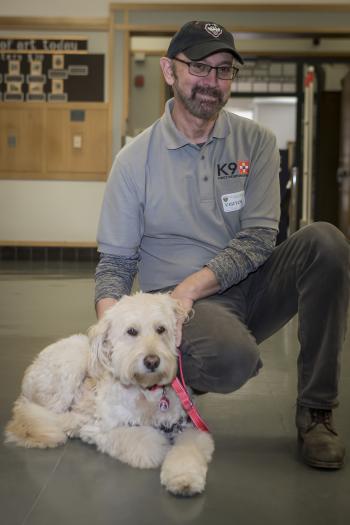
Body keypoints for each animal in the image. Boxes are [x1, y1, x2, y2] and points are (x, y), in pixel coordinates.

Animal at [4, 294, 213, 496]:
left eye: (161, 329)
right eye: (131, 331)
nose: (152, 361)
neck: (146, 391)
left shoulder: (187, 426)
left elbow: (189, 449)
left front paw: (184, 479)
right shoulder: (103, 428)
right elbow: (146, 442)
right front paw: (160, 447)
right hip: (69, 370)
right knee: (50, 415)